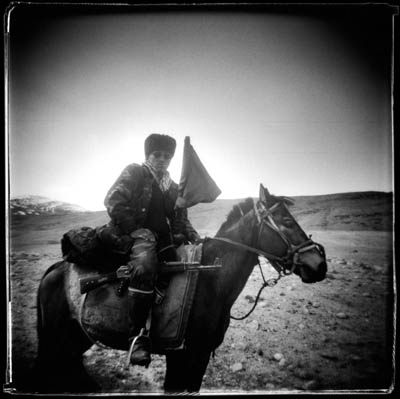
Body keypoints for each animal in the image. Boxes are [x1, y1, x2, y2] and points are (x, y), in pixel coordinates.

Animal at [36, 186, 326, 396]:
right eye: (286, 221)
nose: (319, 265)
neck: (211, 278)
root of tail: (55, 269)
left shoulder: (199, 358)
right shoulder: (182, 356)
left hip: (77, 337)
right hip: (60, 337)